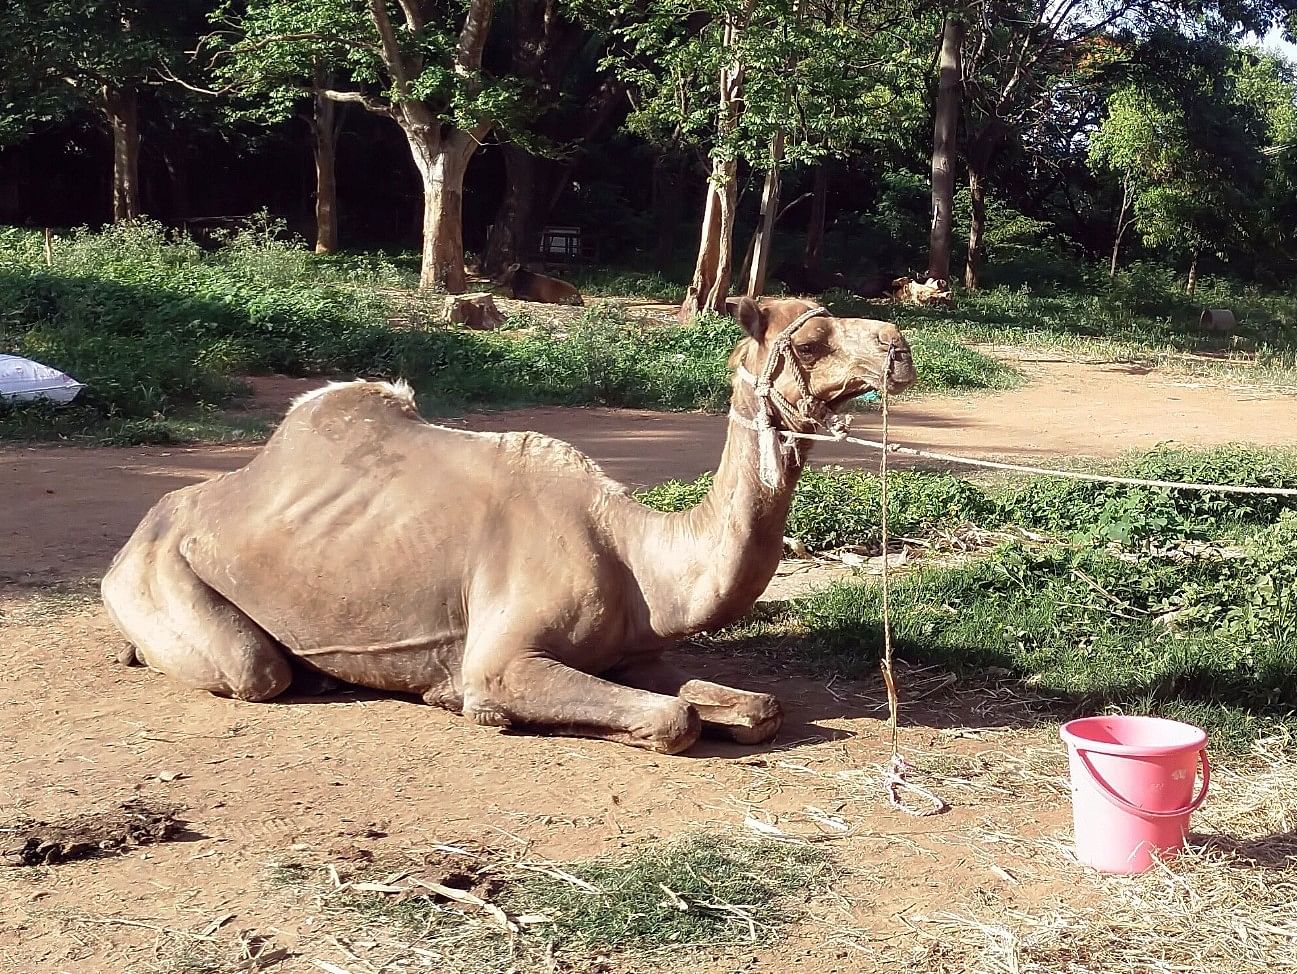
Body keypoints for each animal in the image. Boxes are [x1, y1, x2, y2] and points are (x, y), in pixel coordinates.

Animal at [101, 296, 918, 752]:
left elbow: (756, 707)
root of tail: (141, 528)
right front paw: (459, 703)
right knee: (254, 670)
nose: (899, 346)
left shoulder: (631, 654)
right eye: (808, 343)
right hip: (164, 578)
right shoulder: (503, 660)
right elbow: (672, 720)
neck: (635, 556)